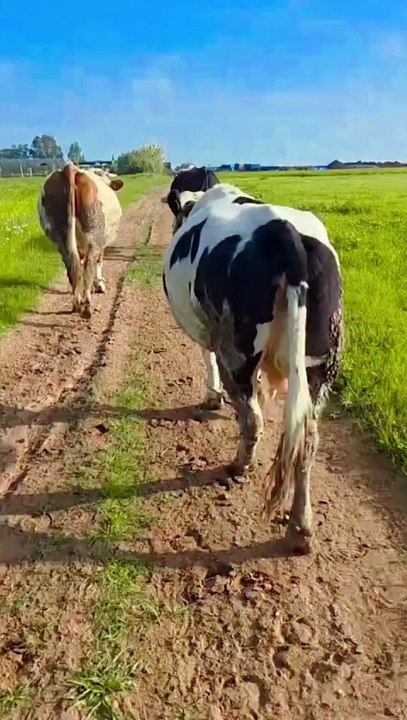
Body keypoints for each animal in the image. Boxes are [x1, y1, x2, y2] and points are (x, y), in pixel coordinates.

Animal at [38, 162, 124, 318]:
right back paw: (87, 305)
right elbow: (99, 262)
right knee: (88, 267)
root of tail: (70, 168)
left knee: (72, 268)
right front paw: (99, 285)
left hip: (61, 239)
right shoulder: (102, 243)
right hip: (94, 235)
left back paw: (77, 302)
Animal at [162, 182, 343, 554]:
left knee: (252, 417)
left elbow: (208, 359)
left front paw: (212, 397)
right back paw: (301, 527)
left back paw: (239, 465)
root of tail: (284, 234)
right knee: (307, 439)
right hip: (321, 361)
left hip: (237, 346)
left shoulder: (208, 329)